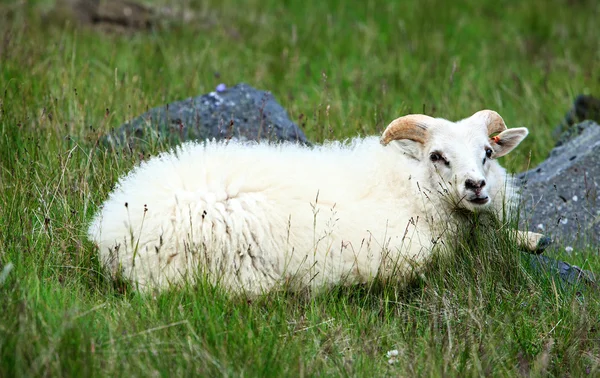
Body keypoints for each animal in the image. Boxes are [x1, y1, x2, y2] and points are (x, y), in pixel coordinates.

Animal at [88, 109, 544, 296]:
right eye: (437, 156)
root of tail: (110, 229)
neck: (408, 184)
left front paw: (531, 238)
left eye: (488, 152)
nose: (476, 186)